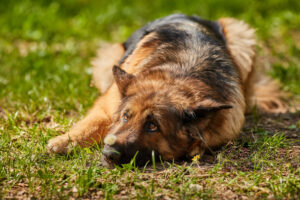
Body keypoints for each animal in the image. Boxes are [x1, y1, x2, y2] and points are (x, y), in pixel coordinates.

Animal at [47, 14, 288, 166]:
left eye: (153, 126)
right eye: (125, 117)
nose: (107, 154)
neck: (180, 73)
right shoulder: (108, 105)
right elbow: (91, 125)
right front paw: (63, 141)